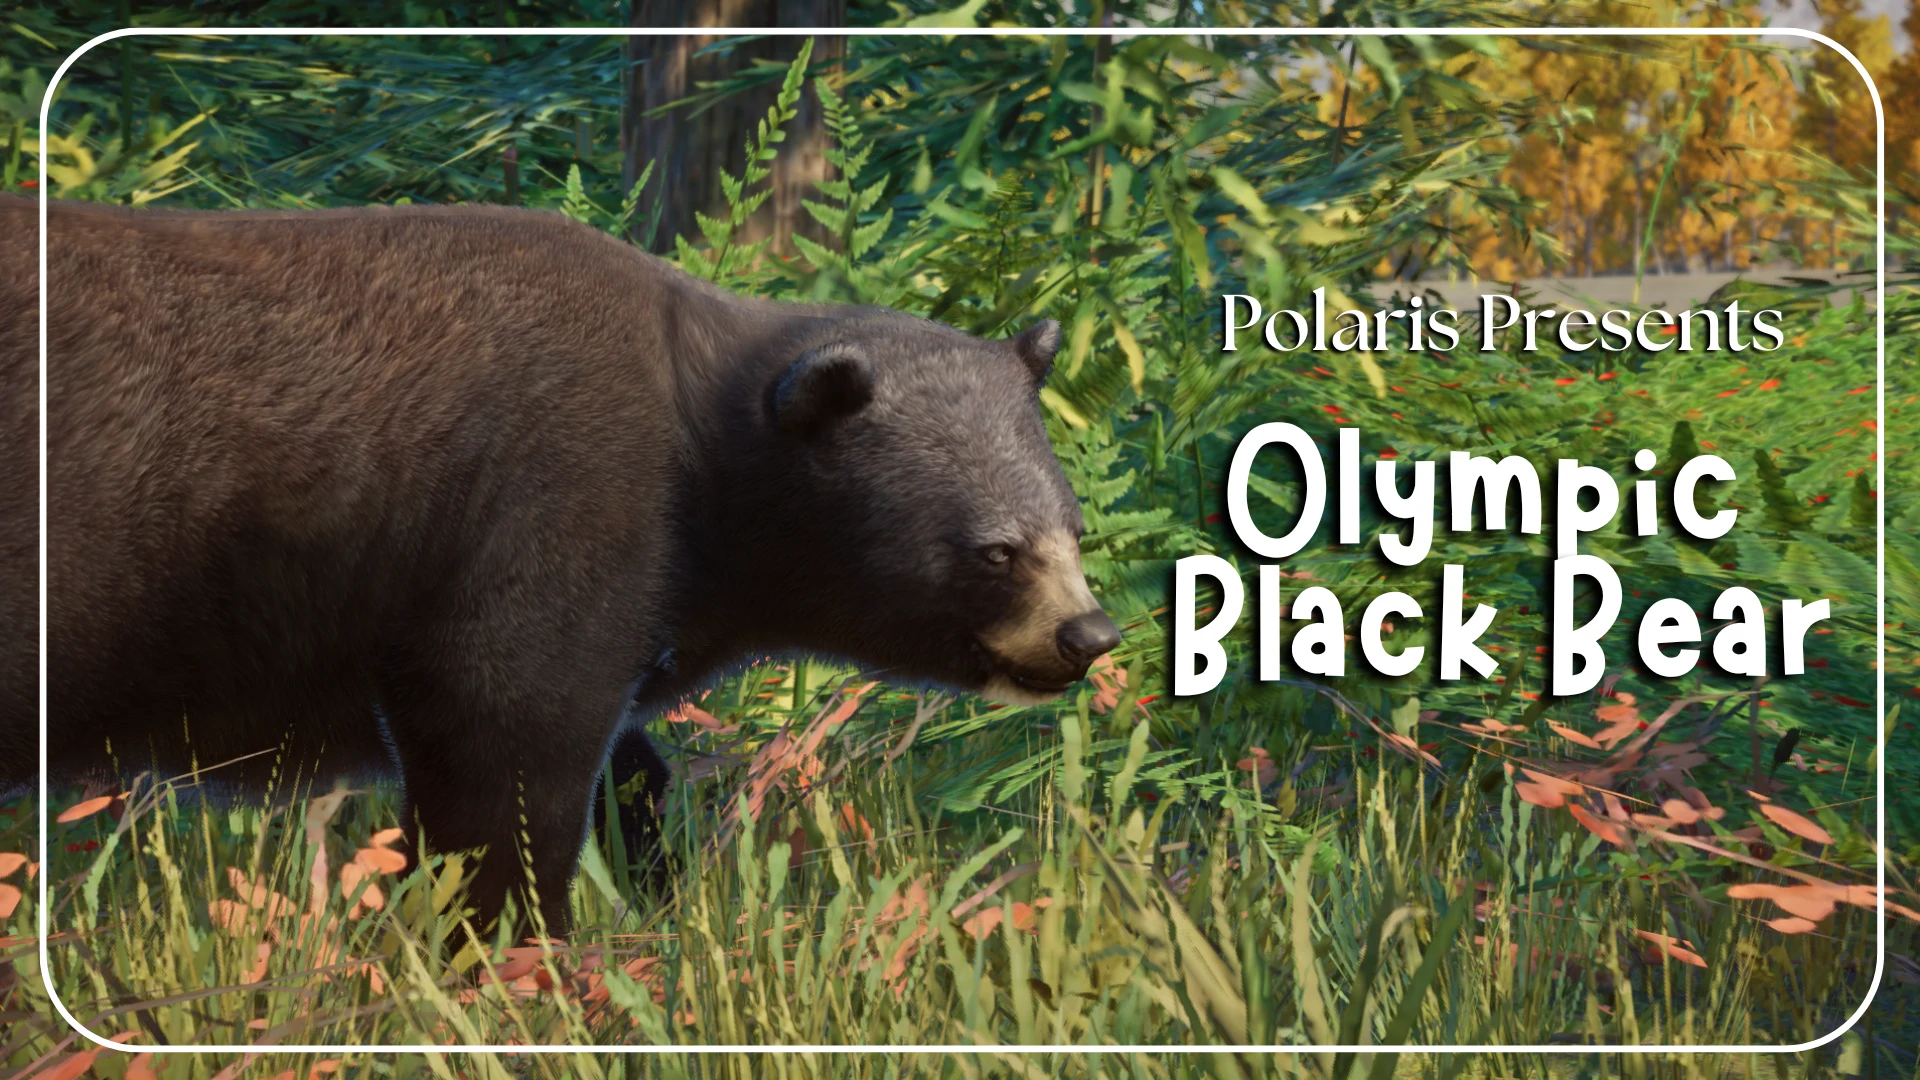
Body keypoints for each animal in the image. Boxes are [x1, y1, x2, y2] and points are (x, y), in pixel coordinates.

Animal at [0, 194, 1121, 935]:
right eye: (998, 548)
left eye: (1072, 529)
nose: (1090, 636)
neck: (700, 447)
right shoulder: (549, 497)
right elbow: (504, 743)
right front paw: (502, 940)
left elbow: (621, 757)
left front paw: (659, 886)